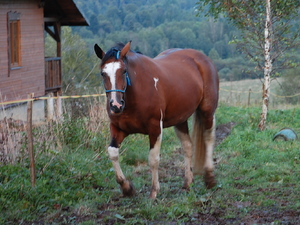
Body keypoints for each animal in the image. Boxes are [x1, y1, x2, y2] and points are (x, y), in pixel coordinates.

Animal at [95, 40, 219, 199]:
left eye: (123, 71)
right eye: (103, 73)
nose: (116, 105)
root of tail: (202, 58)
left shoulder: (155, 128)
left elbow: (153, 159)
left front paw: (154, 192)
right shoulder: (118, 129)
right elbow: (113, 153)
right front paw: (127, 188)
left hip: (207, 111)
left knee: (208, 138)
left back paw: (209, 178)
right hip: (180, 120)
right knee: (187, 146)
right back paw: (187, 183)